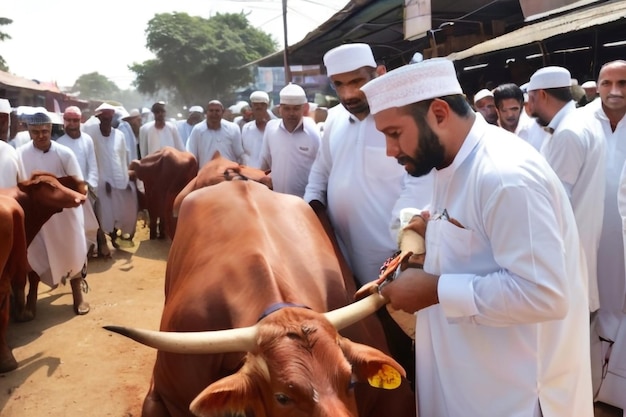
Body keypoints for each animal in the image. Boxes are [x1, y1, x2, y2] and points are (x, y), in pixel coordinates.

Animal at [0, 171, 86, 372]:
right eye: (50, 186)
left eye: (58, 183)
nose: (80, 197)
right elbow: (25, 280)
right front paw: (24, 312)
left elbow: (31, 277)